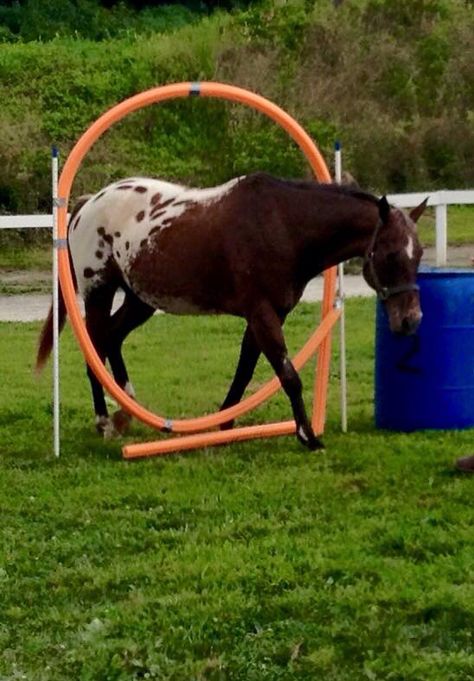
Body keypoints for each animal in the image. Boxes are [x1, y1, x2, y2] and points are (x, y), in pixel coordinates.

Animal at [36, 170, 426, 448]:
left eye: (419, 253)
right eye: (391, 254)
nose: (410, 320)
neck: (283, 225)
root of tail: (88, 204)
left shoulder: (267, 316)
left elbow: (245, 370)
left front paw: (224, 424)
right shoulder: (262, 314)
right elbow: (288, 375)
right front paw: (307, 436)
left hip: (139, 300)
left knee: (112, 340)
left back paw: (124, 411)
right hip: (99, 293)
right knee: (95, 348)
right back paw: (105, 421)